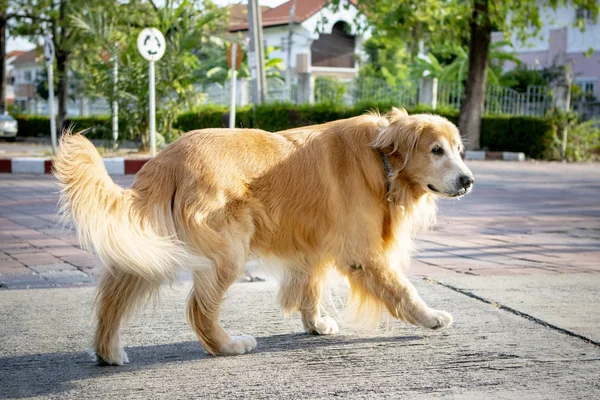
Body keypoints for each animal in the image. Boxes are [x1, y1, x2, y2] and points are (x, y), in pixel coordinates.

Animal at [52, 108, 474, 364]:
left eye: (459, 150)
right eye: (436, 151)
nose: (469, 180)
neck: (381, 160)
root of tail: (165, 159)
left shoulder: (313, 244)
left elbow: (310, 288)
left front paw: (315, 324)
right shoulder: (363, 253)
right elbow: (402, 288)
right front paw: (431, 317)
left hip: (149, 249)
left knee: (112, 298)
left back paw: (108, 352)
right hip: (227, 251)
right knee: (199, 310)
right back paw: (227, 345)